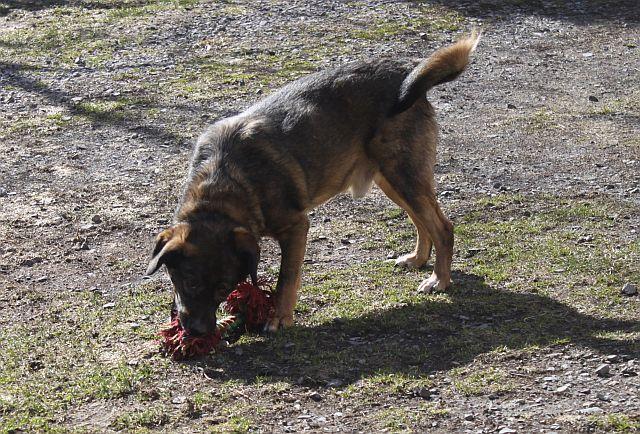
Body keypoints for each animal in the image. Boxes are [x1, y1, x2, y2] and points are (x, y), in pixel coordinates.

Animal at [146, 33, 480, 335]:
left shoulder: (296, 228)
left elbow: (286, 278)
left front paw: (280, 318)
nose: (198, 333)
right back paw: (418, 258)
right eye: (188, 282)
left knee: (442, 227)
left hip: (403, 175)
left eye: (224, 287)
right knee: (421, 221)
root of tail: (406, 74)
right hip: (391, 180)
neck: (223, 185)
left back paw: (439, 279)